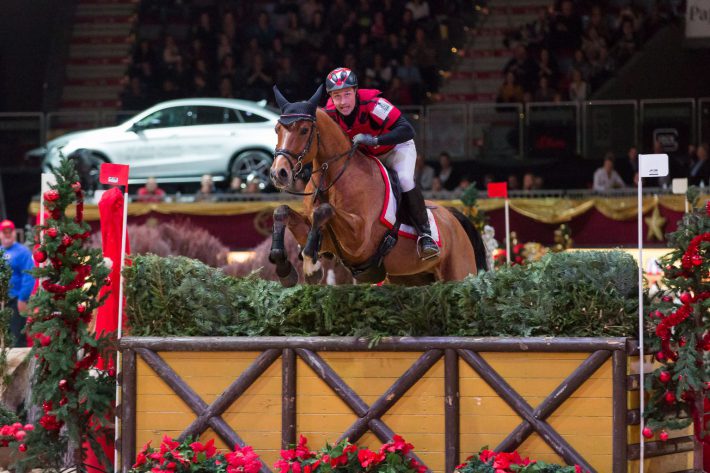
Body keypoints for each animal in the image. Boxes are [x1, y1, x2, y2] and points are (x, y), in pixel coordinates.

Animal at [268, 85, 490, 286]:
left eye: (304, 130)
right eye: (277, 129)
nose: (279, 173)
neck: (331, 178)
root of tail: (453, 217)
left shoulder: (359, 239)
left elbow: (323, 210)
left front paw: (311, 268)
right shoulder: (324, 237)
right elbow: (282, 211)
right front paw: (284, 268)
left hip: (458, 273)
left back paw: (428, 242)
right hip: (412, 278)